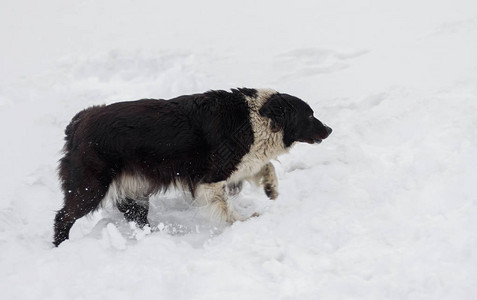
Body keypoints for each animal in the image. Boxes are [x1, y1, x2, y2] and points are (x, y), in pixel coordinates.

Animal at [54, 88, 330, 246]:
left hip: (134, 190)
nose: (329, 130)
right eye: (309, 115)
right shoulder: (212, 177)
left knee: (136, 217)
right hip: (90, 187)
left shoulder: (238, 164)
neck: (257, 117)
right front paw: (244, 222)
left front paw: (271, 188)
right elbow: (227, 208)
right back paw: (61, 247)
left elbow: (266, 166)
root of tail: (77, 124)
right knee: (62, 217)